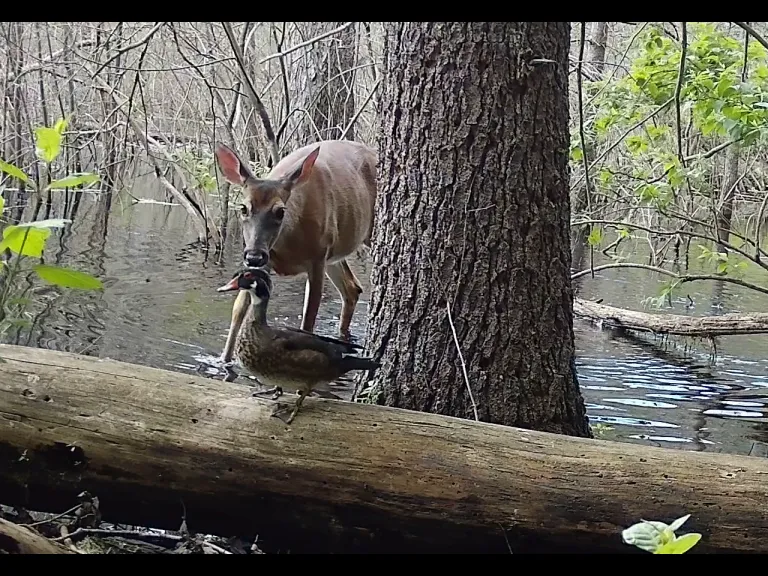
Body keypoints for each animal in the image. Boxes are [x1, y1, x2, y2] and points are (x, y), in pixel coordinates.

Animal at [214, 139, 378, 381]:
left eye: (280, 211)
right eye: (243, 208)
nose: (254, 255)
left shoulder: (317, 258)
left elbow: (308, 318)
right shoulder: (265, 261)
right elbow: (238, 310)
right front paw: (224, 361)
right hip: (334, 255)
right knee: (352, 288)